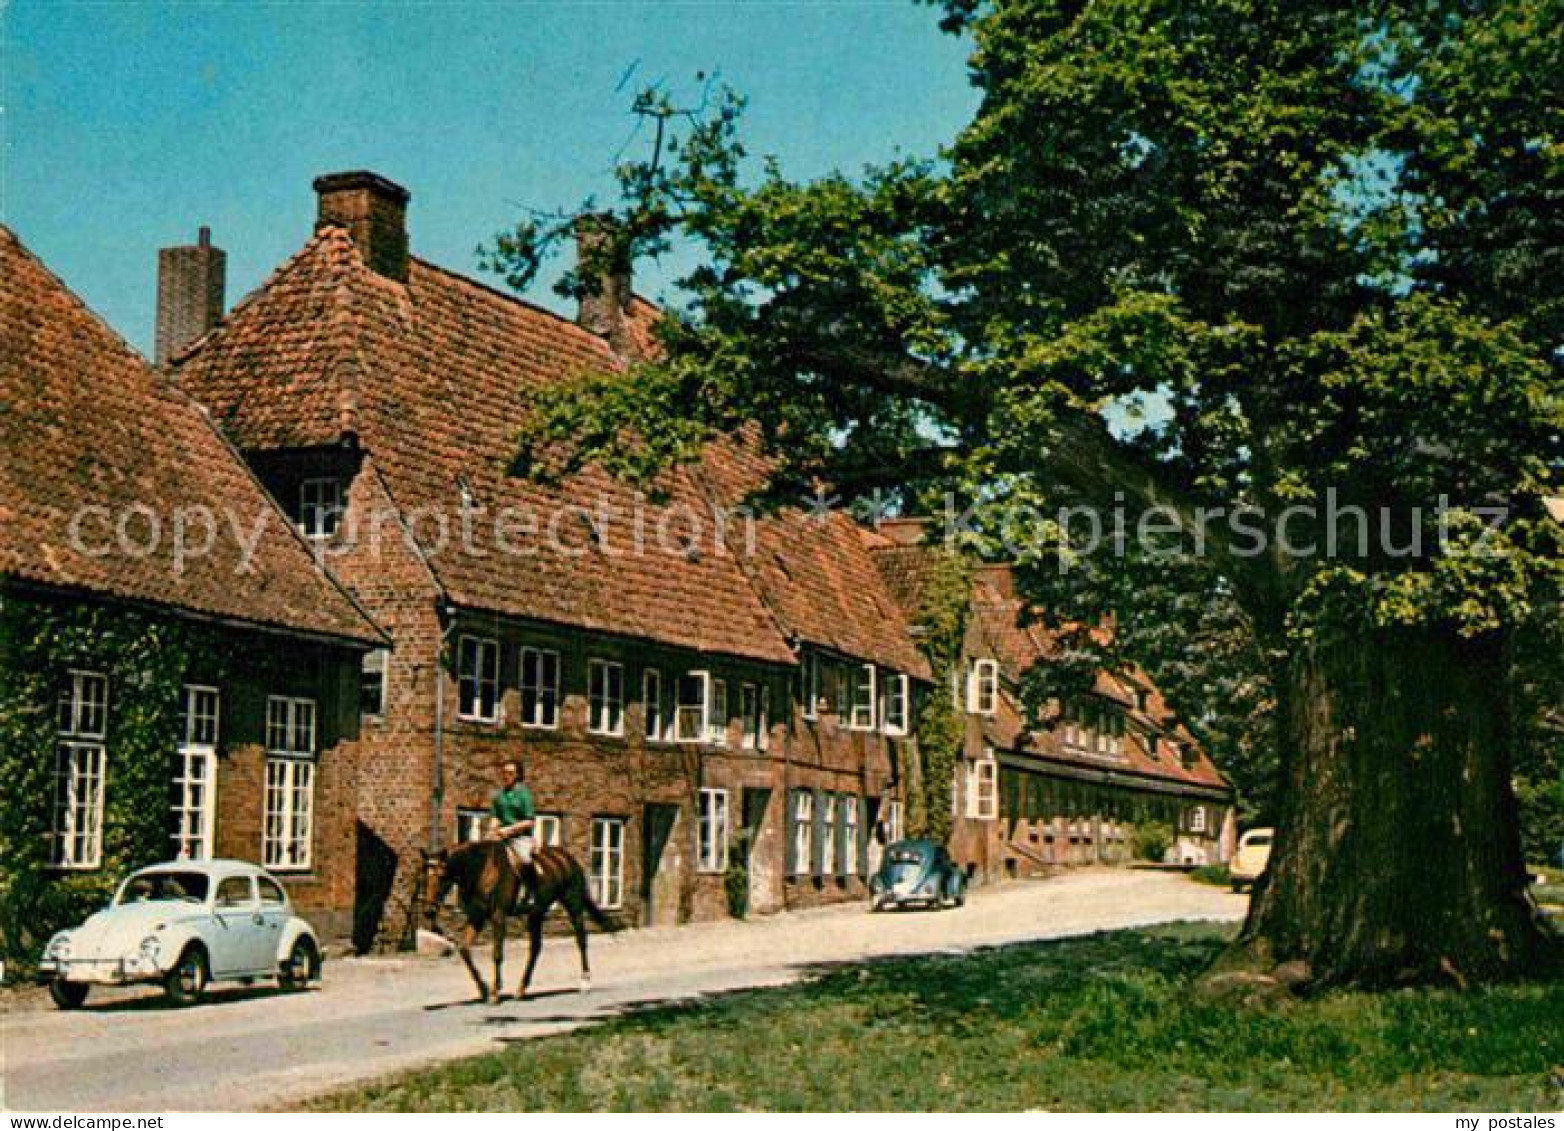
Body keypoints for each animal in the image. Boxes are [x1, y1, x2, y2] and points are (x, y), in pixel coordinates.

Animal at [419, 838, 619, 1001]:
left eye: (441, 876)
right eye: (423, 877)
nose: (428, 911)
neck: (482, 869)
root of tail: (567, 858)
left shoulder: (498, 917)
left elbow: (497, 954)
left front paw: (494, 991)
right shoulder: (477, 917)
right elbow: (464, 950)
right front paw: (483, 989)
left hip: (573, 905)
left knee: (581, 940)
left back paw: (585, 981)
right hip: (536, 913)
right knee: (535, 948)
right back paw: (522, 988)